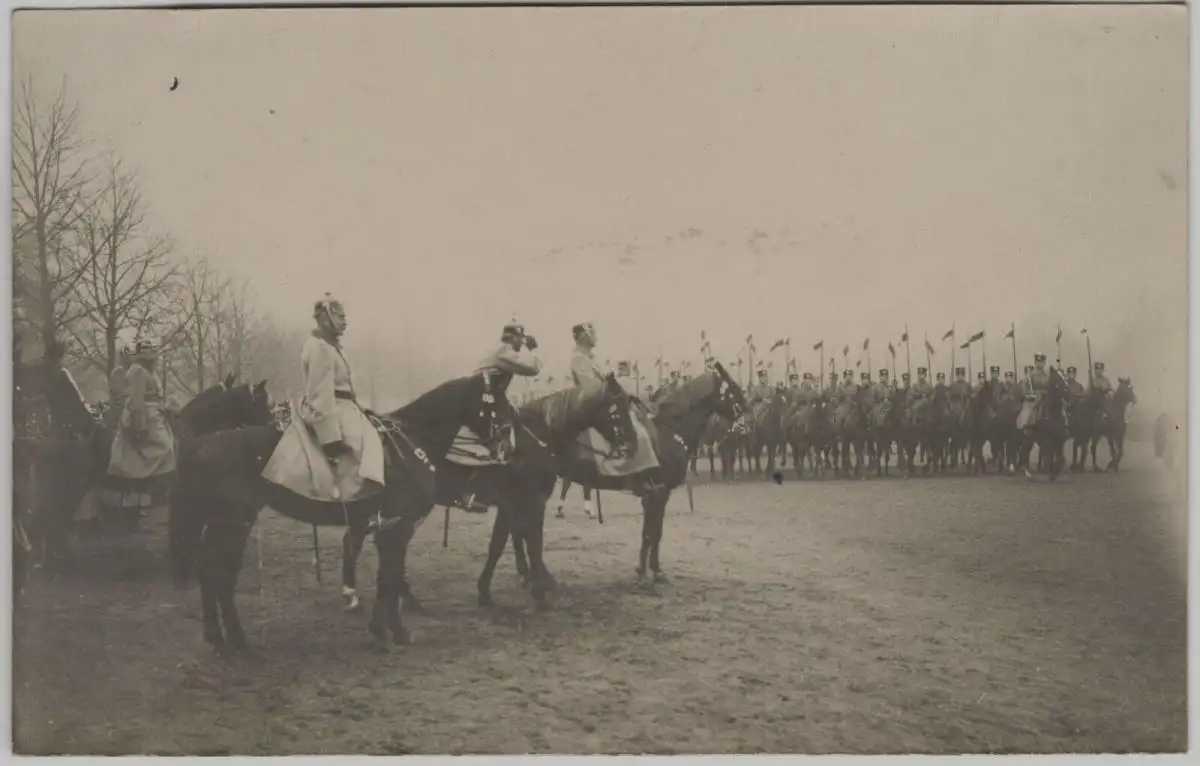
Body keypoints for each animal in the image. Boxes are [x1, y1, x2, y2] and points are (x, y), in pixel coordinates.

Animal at [165, 372, 511, 653]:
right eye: (500, 402)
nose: (507, 445)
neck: (412, 443)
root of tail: (200, 445)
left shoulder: (390, 526)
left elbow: (390, 574)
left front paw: (390, 629)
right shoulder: (400, 525)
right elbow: (390, 576)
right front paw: (388, 631)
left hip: (229, 523)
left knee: (212, 570)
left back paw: (220, 637)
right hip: (234, 523)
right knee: (217, 571)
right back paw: (233, 638)